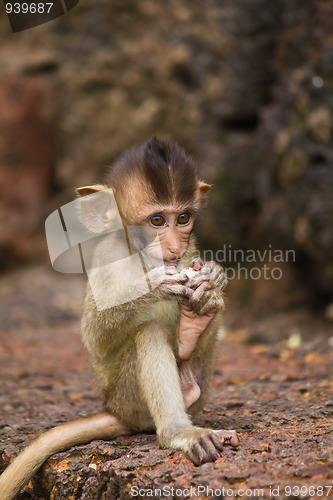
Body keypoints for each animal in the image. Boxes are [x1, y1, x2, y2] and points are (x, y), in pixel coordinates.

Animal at [0, 137, 239, 500]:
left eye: (183, 218)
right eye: (157, 221)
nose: (173, 246)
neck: (139, 254)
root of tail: (117, 411)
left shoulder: (190, 249)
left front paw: (213, 278)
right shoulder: (106, 256)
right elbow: (95, 334)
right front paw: (156, 285)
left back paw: (195, 324)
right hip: (128, 396)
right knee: (149, 332)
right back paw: (178, 432)